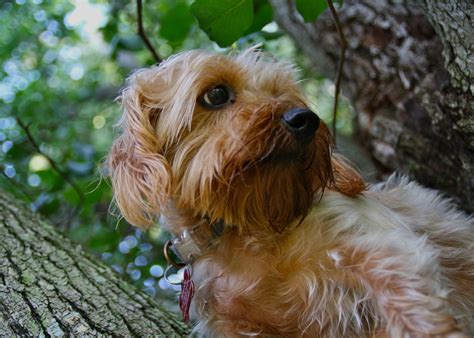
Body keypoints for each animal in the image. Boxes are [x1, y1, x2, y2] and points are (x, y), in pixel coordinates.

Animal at [107, 48, 474, 336]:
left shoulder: (378, 246)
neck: (245, 230)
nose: (305, 118)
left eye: (281, 94)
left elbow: (410, 303)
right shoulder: (237, 325)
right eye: (216, 95)